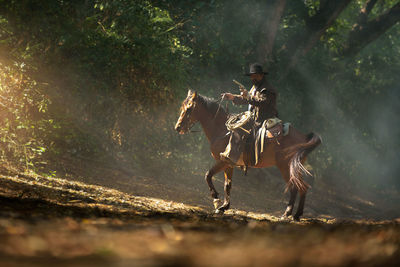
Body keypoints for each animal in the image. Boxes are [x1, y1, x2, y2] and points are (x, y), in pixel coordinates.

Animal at [175, 91, 322, 221]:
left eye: (189, 109)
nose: (178, 127)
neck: (223, 130)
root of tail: (303, 137)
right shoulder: (228, 164)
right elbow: (227, 184)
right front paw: (224, 207)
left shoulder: (223, 162)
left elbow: (208, 175)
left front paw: (216, 199)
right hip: (293, 167)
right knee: (302, 187)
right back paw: (296, 215)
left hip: (285, 167)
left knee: (295, 188)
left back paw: (286, 214)